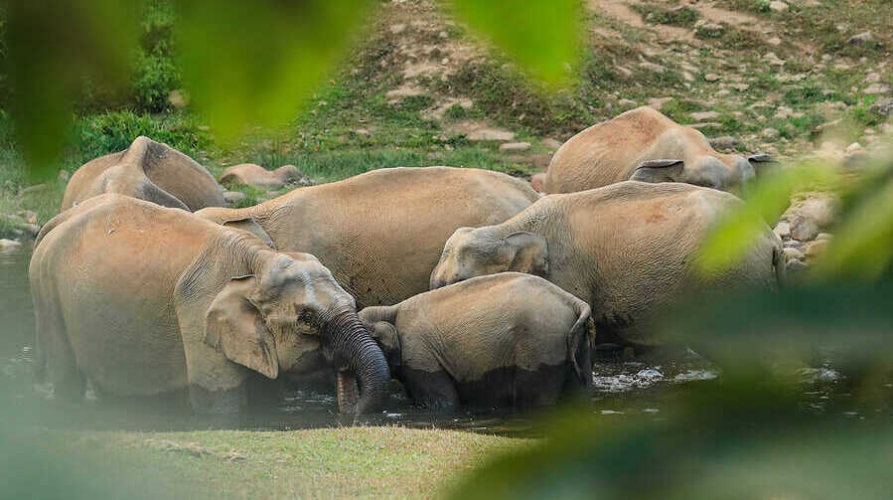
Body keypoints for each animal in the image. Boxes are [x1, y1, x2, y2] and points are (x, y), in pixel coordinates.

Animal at [30, 194, 389, 415]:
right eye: (307, 318)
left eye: (352, 302)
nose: (348, 409)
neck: (258, 258)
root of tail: (57, 220)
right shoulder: (196, 311)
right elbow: (217, 401)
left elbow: (267, 396)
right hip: (45, 290)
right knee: (65, 376)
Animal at [359, 273, 592, 410]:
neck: (390, 309)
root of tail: (573, 301)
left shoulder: (420, 355)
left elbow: (444, 404)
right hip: (573, 346)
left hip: (539, 346)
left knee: (534, 398)